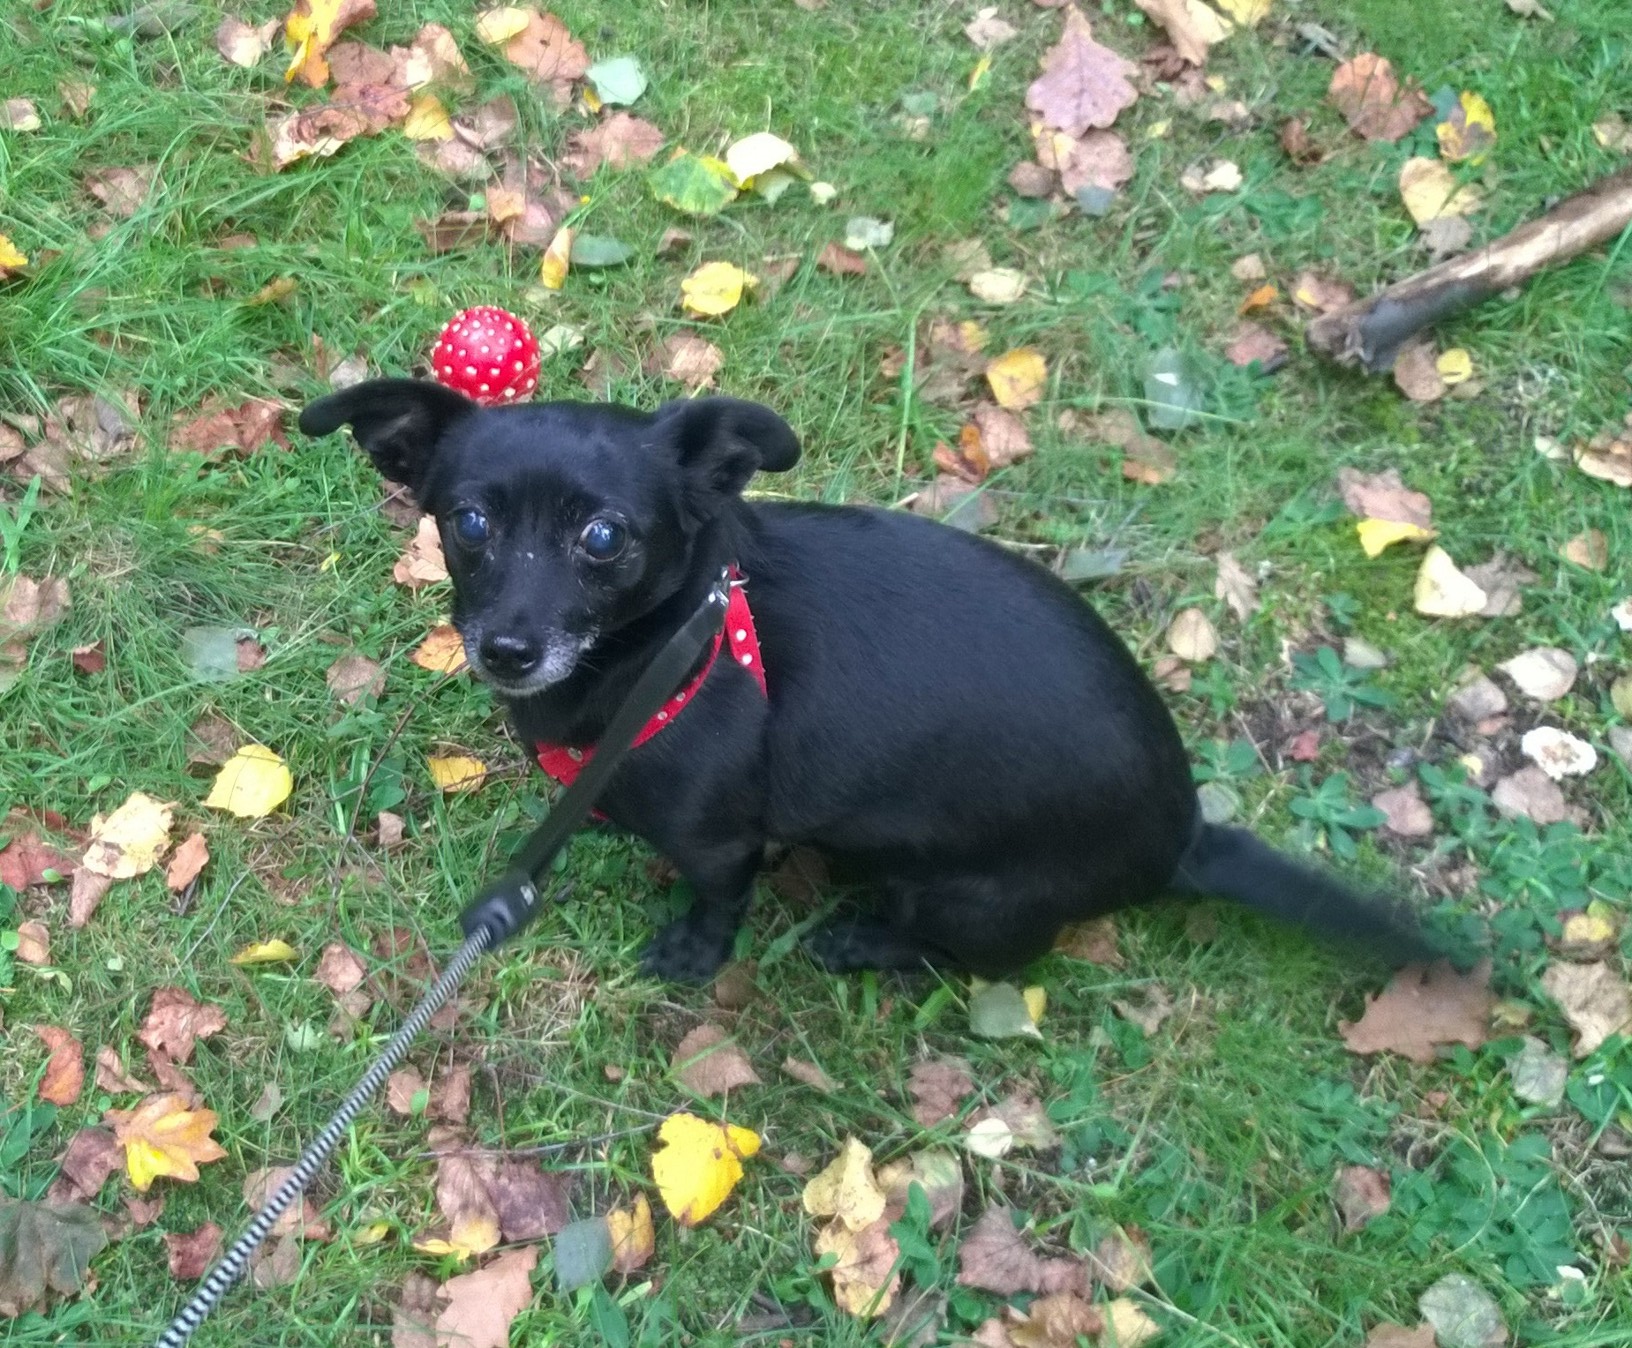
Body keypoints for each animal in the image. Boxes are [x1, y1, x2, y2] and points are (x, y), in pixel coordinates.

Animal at [299, 380, 1443, 981]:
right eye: (467, 522)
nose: (506, 648)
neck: (672, 643)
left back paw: (860, 940)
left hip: (964, 898)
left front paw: (693, 952)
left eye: (604, 537)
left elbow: (718, 901)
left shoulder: (722, 843)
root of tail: (1185, 835)